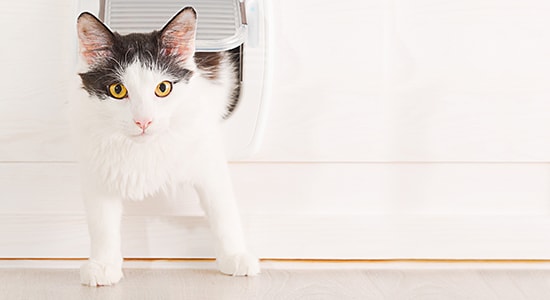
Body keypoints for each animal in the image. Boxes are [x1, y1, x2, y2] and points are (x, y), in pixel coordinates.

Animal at [73, 7, 260, 286]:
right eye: (117, 90)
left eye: (163, 88)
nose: (143, 121)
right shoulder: (95, 160)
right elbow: (101, 222)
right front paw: (103, 264)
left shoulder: (208, 155)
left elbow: (223, 209)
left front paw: (235, 256)